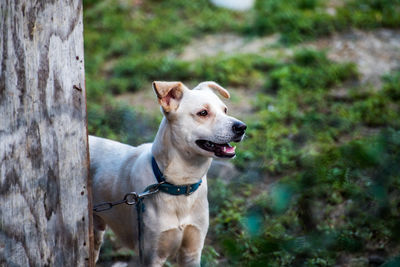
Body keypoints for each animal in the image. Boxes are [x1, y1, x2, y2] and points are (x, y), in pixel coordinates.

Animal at [90, 80, 245, 266]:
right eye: (203, 113)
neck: (181, 185)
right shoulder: (152, 256)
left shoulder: (192, 253)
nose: (242, 127)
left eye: (225, 110)